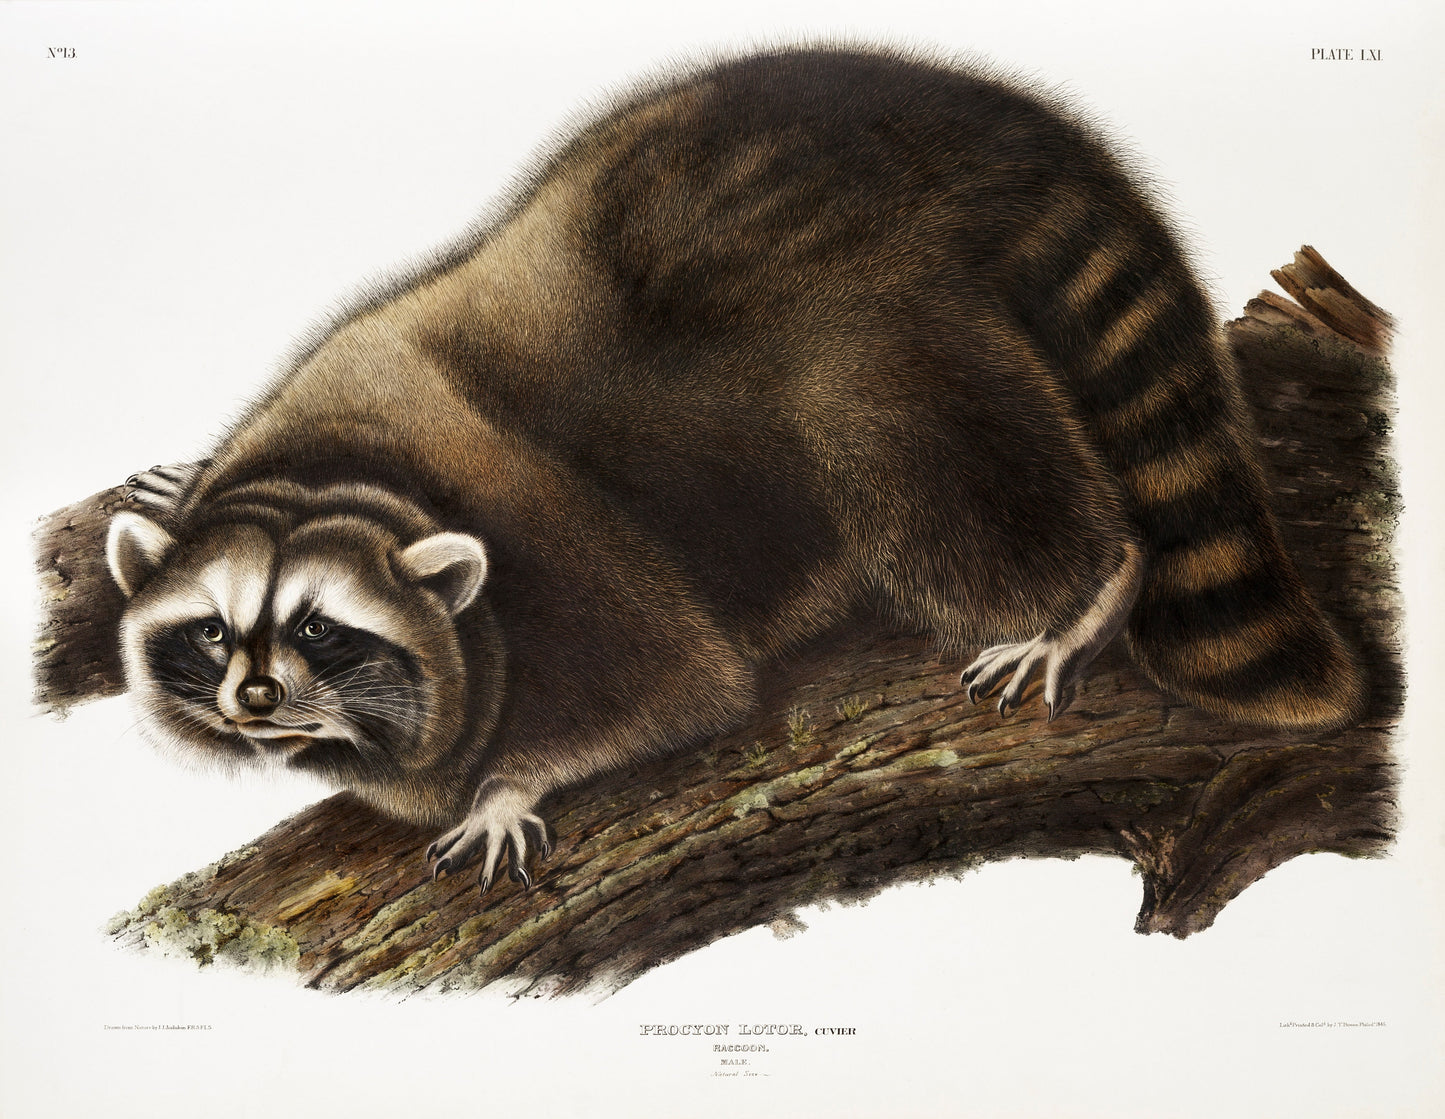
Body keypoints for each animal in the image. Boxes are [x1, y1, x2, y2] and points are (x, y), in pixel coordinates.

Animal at [105, 46, 1366, 893]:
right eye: (213, 632)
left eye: (321, 629)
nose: (255, 700)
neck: (344, 477)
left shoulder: (557, 548)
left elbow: (678, 686)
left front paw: (512, 781)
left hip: (871, 321)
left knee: (912, 453)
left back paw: (1084, 587)